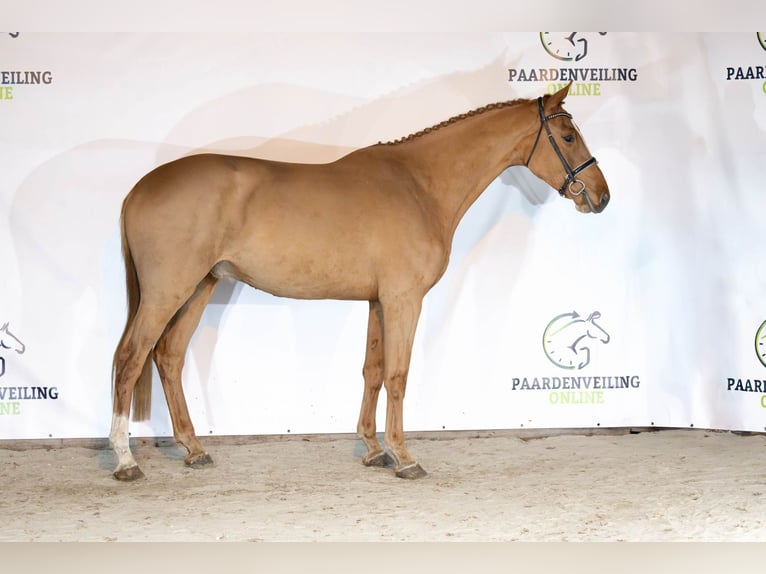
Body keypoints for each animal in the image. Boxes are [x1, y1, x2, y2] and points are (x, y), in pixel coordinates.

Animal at [110, 83, 610, 481]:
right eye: (568, 135)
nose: (601, 197)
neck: (419, 185)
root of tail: (138, 189)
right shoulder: (404, 299)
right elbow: (398, 374)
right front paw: (405, 457)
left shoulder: (377, 301)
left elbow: (372, 371)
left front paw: (373, 450)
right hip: (168, 291)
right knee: (131, 357)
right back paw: (125, 460)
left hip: (200, 287)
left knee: (168, 356)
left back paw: (194, 450)